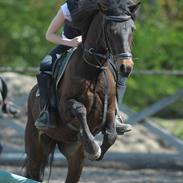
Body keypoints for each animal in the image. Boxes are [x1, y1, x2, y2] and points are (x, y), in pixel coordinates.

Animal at [24, 0, 139, 182]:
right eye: (110, 30)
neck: (93, 70)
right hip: (36, 146)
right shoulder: (65, 106)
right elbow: (80, 109)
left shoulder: (110, 108)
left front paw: (97, 151)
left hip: (73, 155)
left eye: (132, 29)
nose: (126, 67)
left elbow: (111, 134)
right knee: (34, 171)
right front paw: (93, 147)